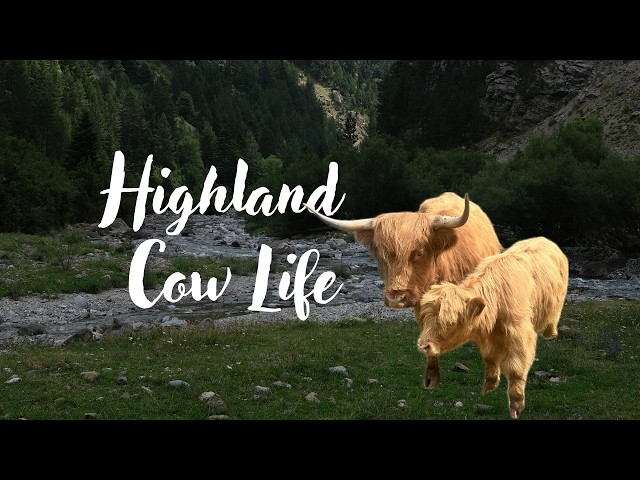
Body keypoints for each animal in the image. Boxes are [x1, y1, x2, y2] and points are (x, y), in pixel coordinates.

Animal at [416, 236, 569, 419]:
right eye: (425, 320)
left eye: (450, 323)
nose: (423, 345)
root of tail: (544, 239)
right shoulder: (488, 339)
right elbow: (490, 359)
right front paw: (488, 388)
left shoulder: (520, 338)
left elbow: (516, 370)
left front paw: (516, 408)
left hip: (556, 304)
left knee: (553, 318)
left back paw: (550, 334)